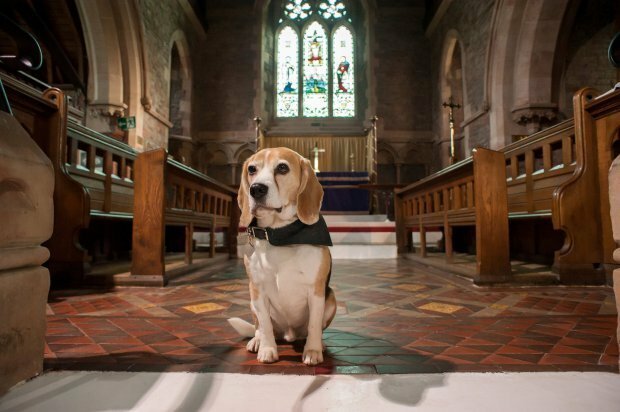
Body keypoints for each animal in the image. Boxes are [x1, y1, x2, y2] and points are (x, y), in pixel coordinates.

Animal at [226, 147, 334, 364]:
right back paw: (257, 341)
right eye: (252, 169)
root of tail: (289, 334)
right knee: (259, 327)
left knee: (313, 329)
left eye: (282, 168)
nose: (256, 189)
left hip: (331, 299)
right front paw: (267, 349)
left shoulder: (316, 290)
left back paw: (320, 344)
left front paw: (313, 351)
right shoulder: (258, 289)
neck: (280, 234)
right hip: (252, 301)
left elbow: (314, 324)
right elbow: (265, 325)